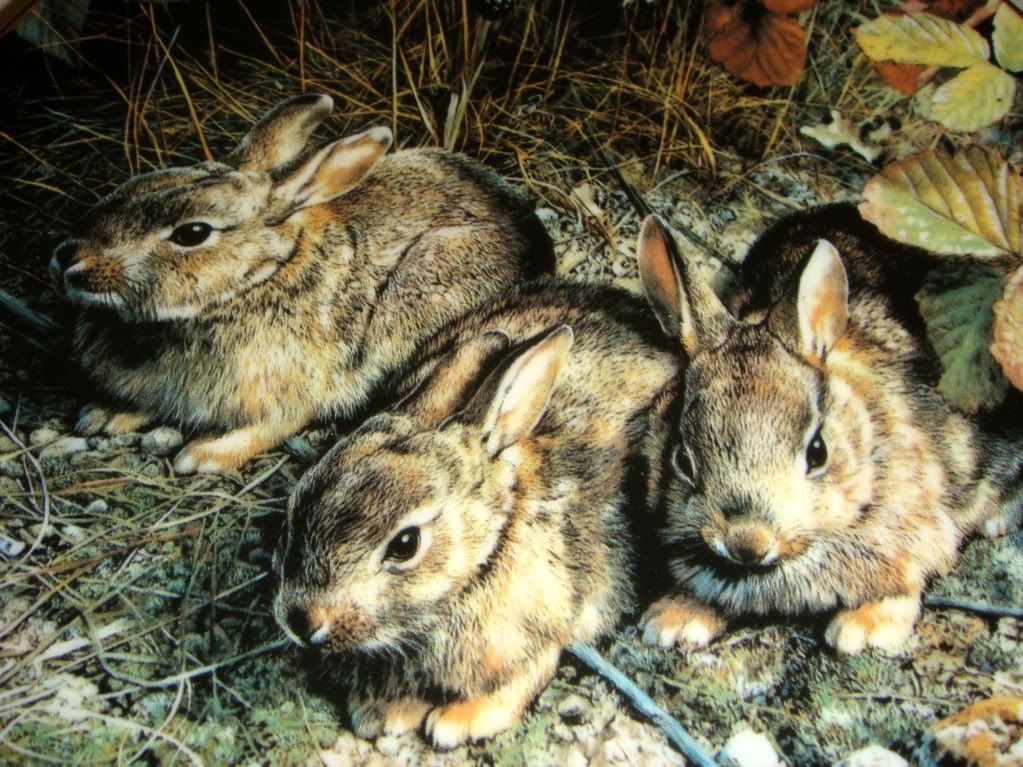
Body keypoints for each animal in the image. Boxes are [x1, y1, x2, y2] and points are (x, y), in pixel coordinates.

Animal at [49, 93, 552, 472]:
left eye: (192, 233)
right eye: (131, 187)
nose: (67, 258)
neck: (258, 277)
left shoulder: (297, 389)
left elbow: (276, 425)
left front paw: (202, 455)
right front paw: (103, 415)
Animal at [276, 278, 683, 752]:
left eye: (405, 545)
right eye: (297, 506)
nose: (301, 621)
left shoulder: (542, 628)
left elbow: (522, 680)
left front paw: (458, 722)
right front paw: (384, 713)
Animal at [634, 207, 1018, 658]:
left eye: (817, 453)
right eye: (682, 460)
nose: (748, 542)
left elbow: (906, 580)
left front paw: (864, 629)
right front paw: (673, 619)